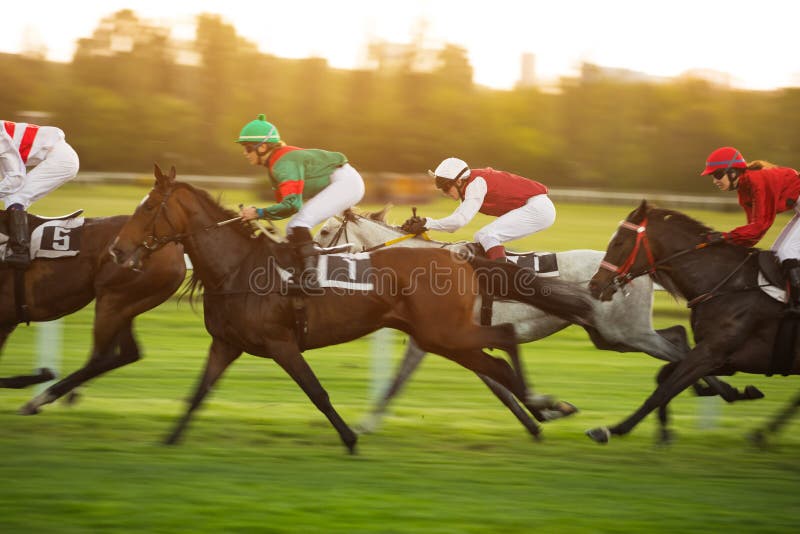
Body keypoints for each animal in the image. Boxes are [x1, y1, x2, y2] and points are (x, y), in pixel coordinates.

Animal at [0, 210, 184, 414]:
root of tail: (174, 246)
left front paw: (42, 375)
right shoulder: (6, 323)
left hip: (112, 299)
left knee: (102, 357)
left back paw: (41, 398)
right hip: (125, 306)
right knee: (128, 353)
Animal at [108, 164, 592, 452]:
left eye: (148, 208)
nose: (117, 251)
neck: (237, 268)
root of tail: (459, 260)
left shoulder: (281, 342)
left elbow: (318, 392)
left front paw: (351, 437)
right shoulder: (226, 344)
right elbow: (197, 393)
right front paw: (169, 439)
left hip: (445, 333)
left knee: (504, 343)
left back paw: (548, 404)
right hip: (441, 336)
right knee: (496, 363)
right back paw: (545, 406)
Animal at [316, 208, 760, 440]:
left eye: (325, 231)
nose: (311, 264)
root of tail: (640, 269)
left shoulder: (439, 337)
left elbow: (399, 382)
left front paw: (366, 423)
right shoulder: (447, 339)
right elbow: (498, 385)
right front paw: (539, 418)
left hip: (623, 330)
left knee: (679, 347)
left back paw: (724, 390)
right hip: (610, 335)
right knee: (679, 340)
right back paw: (720, 390)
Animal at [584, 199, 796, 446]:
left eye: (618, 242)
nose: (594, 285)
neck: (730, 285)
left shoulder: (711, 352)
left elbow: (664, 389)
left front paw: (612, 429)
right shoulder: (721, 357)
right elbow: (665, 375)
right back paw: (762, 432)